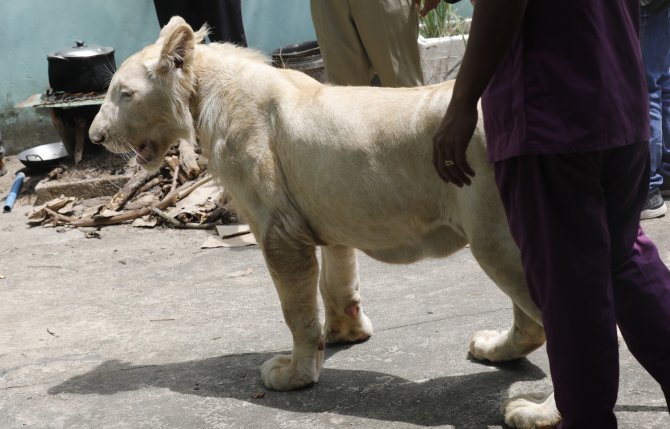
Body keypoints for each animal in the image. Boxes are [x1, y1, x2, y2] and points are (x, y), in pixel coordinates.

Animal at [89, 16, 560, 428]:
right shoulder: (330, 214)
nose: (95, 136)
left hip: (496, 239)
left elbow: (296, 309)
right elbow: (337, 282)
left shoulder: (279, 231)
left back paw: (538, 412)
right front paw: (343, 334)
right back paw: (494, 349)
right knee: (533, 324)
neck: (204, 92)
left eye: (124, 93)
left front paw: (296, 373)